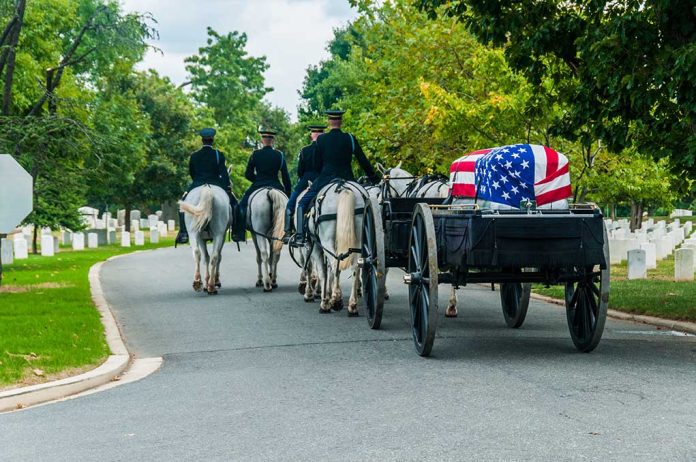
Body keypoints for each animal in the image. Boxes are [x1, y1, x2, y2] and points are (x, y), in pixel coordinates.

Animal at [308, 180, 368, 314]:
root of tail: (343, 187)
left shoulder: (315, 247)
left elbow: (323, 272)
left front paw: (325, 301)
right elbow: (330, 271)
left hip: (326, 241)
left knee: (336, 262)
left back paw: (336, 299)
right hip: (359, 240)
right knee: (355, 266)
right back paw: (352, 305)